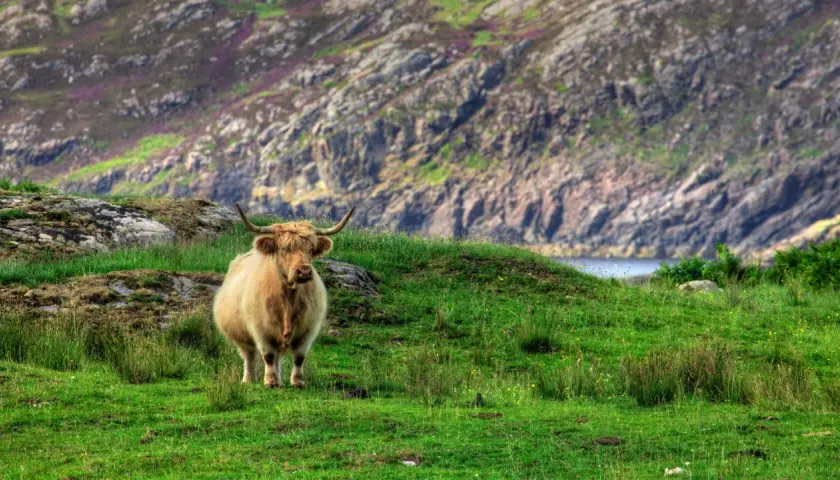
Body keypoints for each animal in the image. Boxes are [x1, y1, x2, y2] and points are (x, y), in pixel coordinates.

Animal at [212, 204, 355, 388]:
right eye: (284, 248)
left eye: (311, 250)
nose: (304, 271)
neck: (287, 299)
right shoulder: (260, 329)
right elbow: (268, 355)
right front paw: (270, 382)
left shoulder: (308, 329)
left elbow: (299, 357)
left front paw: (298, 382)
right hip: (241, 337)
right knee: (250, 356)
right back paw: (248, 380)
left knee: (277, 356)